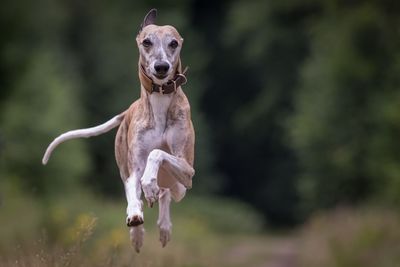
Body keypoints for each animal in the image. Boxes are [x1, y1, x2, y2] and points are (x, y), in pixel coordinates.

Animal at [41, 7, 195, 251]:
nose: (161, 67)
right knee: (137, 191)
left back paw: (162, 223)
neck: (160, 101)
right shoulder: (134, 168)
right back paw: (138, 228)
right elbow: (135, 186)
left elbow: (157, 153)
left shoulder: (187, 169)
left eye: (173, 43)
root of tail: (128, 109)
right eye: (146, 42)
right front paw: (136, 213)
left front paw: (150, 185)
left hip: (180, 185)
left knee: (166, 193)